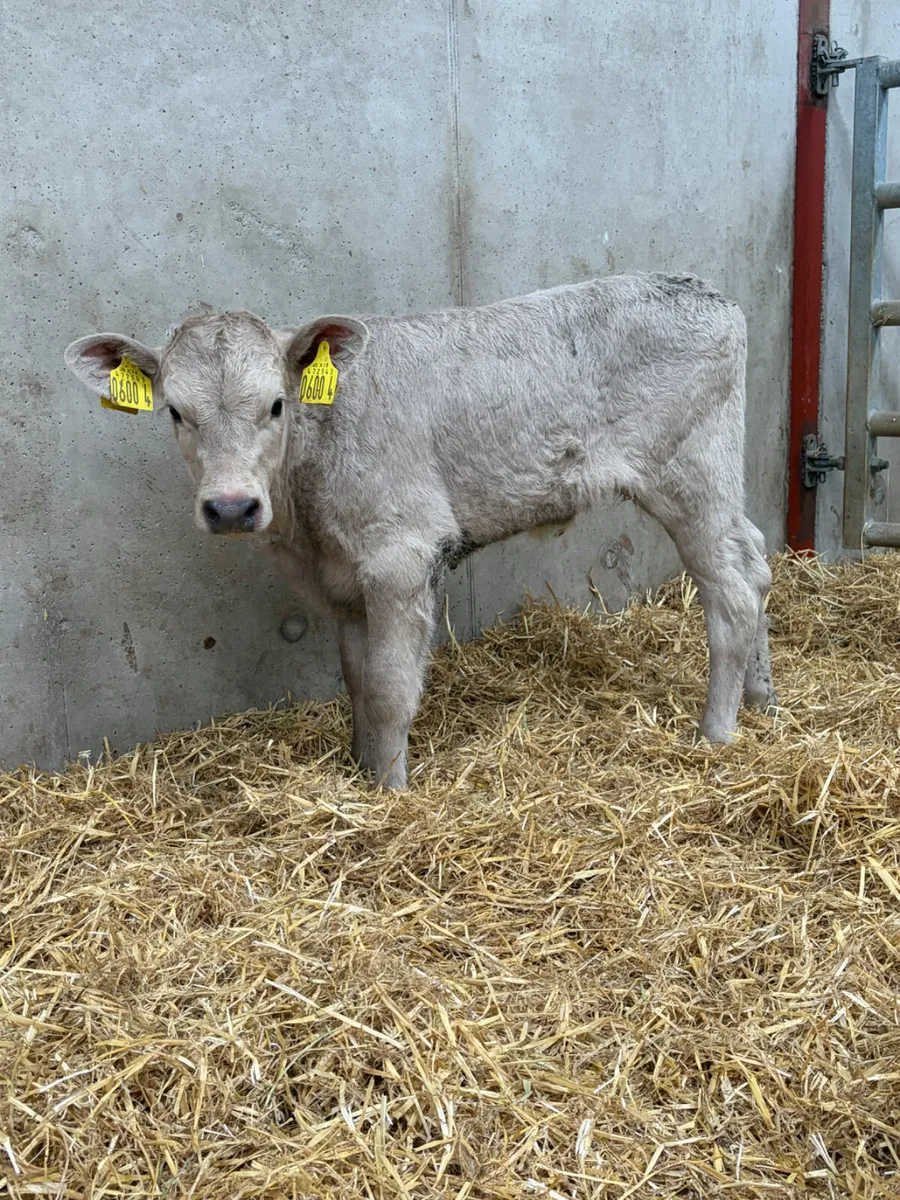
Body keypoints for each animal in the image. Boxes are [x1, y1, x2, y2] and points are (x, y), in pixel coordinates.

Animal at [65, 273, 776, 789]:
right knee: (758, 557)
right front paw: (360, 769)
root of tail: (707, 293)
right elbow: (355, 680)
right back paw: (763, 698)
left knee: (733, 590)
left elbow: (388, 688)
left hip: (691, 474)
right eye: (175, 412)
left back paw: (716, 732)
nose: (232, 507)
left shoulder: (401, 555)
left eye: (276, 404)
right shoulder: (341, 580)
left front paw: (391, 791)